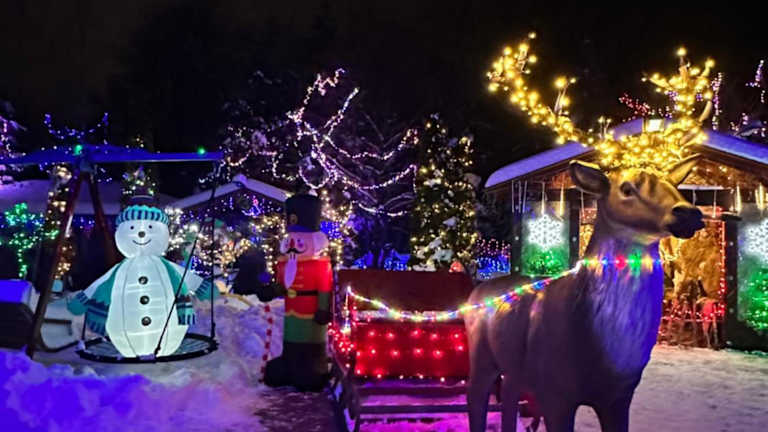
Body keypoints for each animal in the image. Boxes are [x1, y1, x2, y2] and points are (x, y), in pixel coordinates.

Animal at [465, 157, 704, 432]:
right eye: (626, 188)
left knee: (508, 396)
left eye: (676, 185)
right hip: (481, 355)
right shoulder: (554, 391)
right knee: (475, 396)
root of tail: (477, 289)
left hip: (514, 367)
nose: (689, 213)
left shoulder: (620, 395)